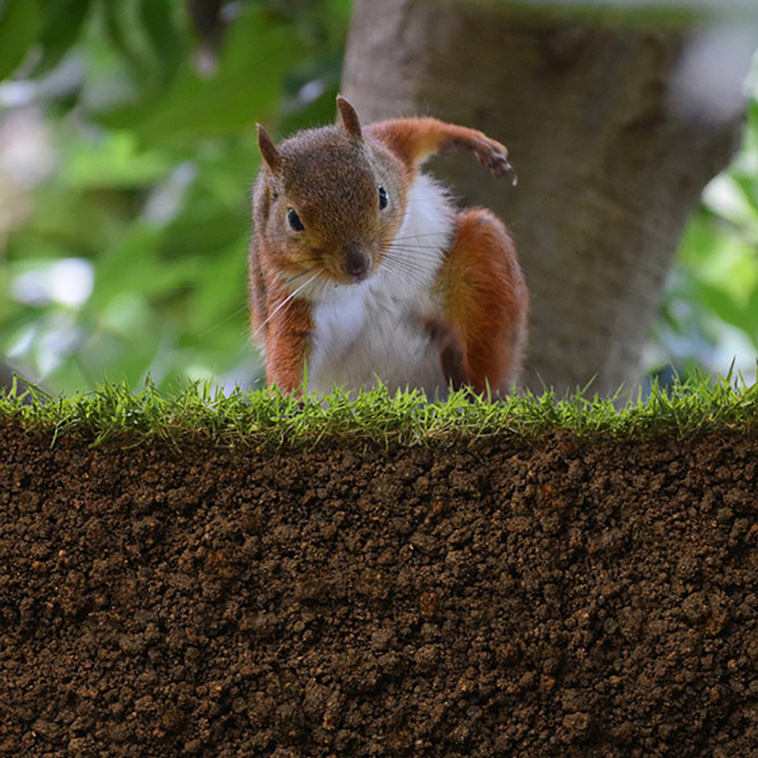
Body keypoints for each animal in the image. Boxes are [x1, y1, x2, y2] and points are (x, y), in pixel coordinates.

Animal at [249, 96, 528, 398]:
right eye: (293, 219)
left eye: (382, 194)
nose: (357, 265)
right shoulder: (289, 296)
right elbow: (289, 348)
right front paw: (288, 400)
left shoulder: (388, 150)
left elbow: (413, 131)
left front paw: (474, 141)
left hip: (483, 260)